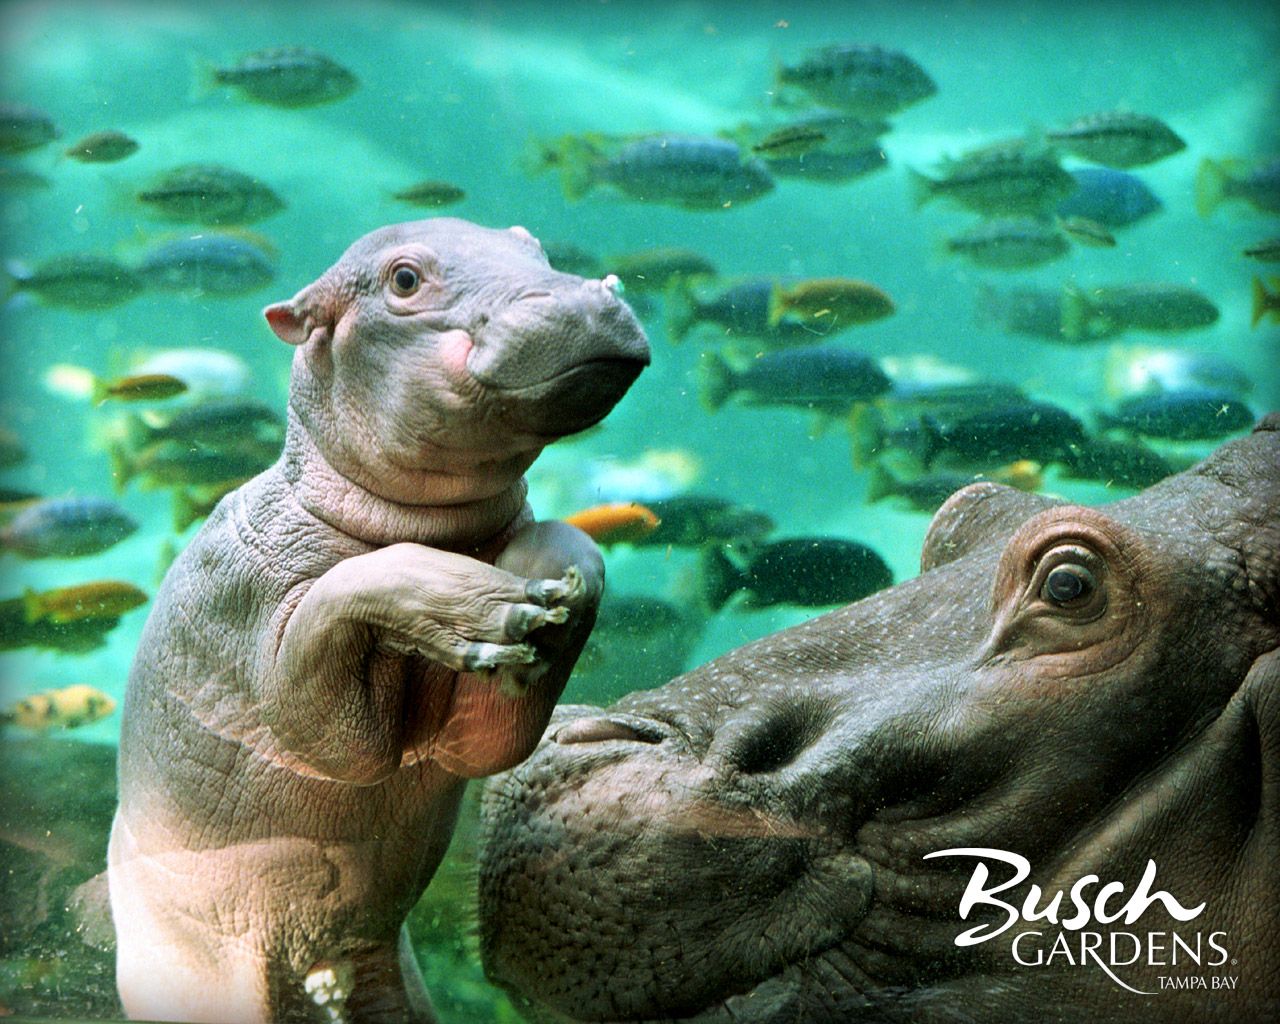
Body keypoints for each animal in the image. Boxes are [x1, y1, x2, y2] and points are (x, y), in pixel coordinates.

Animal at [106, 218, 649, 1023]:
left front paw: (543, 602)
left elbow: (567, 555)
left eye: (533, 245)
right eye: (404, 279)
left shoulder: (470, 740)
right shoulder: (265, 645)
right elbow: (344, 604)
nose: (587, 296)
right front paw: (488, 607)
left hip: (387, 975)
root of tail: (309, 963)